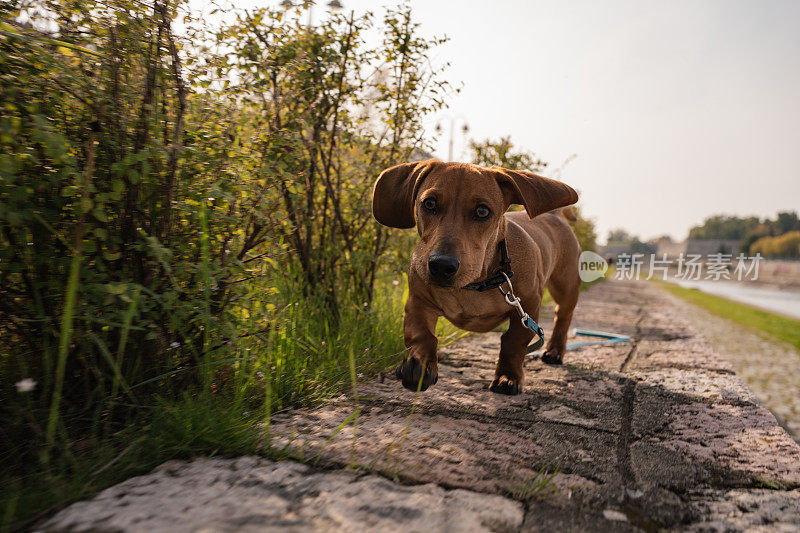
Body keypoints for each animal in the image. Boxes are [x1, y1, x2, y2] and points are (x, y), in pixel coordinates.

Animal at [368, 161, 580, 394]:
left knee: (563, 316)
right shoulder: (418, 302)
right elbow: (423, 336)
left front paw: (508, 376)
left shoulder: (528, 305)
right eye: (430, 203)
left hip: (565, 285)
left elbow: (513, 342)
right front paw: (419, 365)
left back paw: (555, 351)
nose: (441, 266)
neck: (474, 284)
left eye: (482, 211)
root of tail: (555, 215)